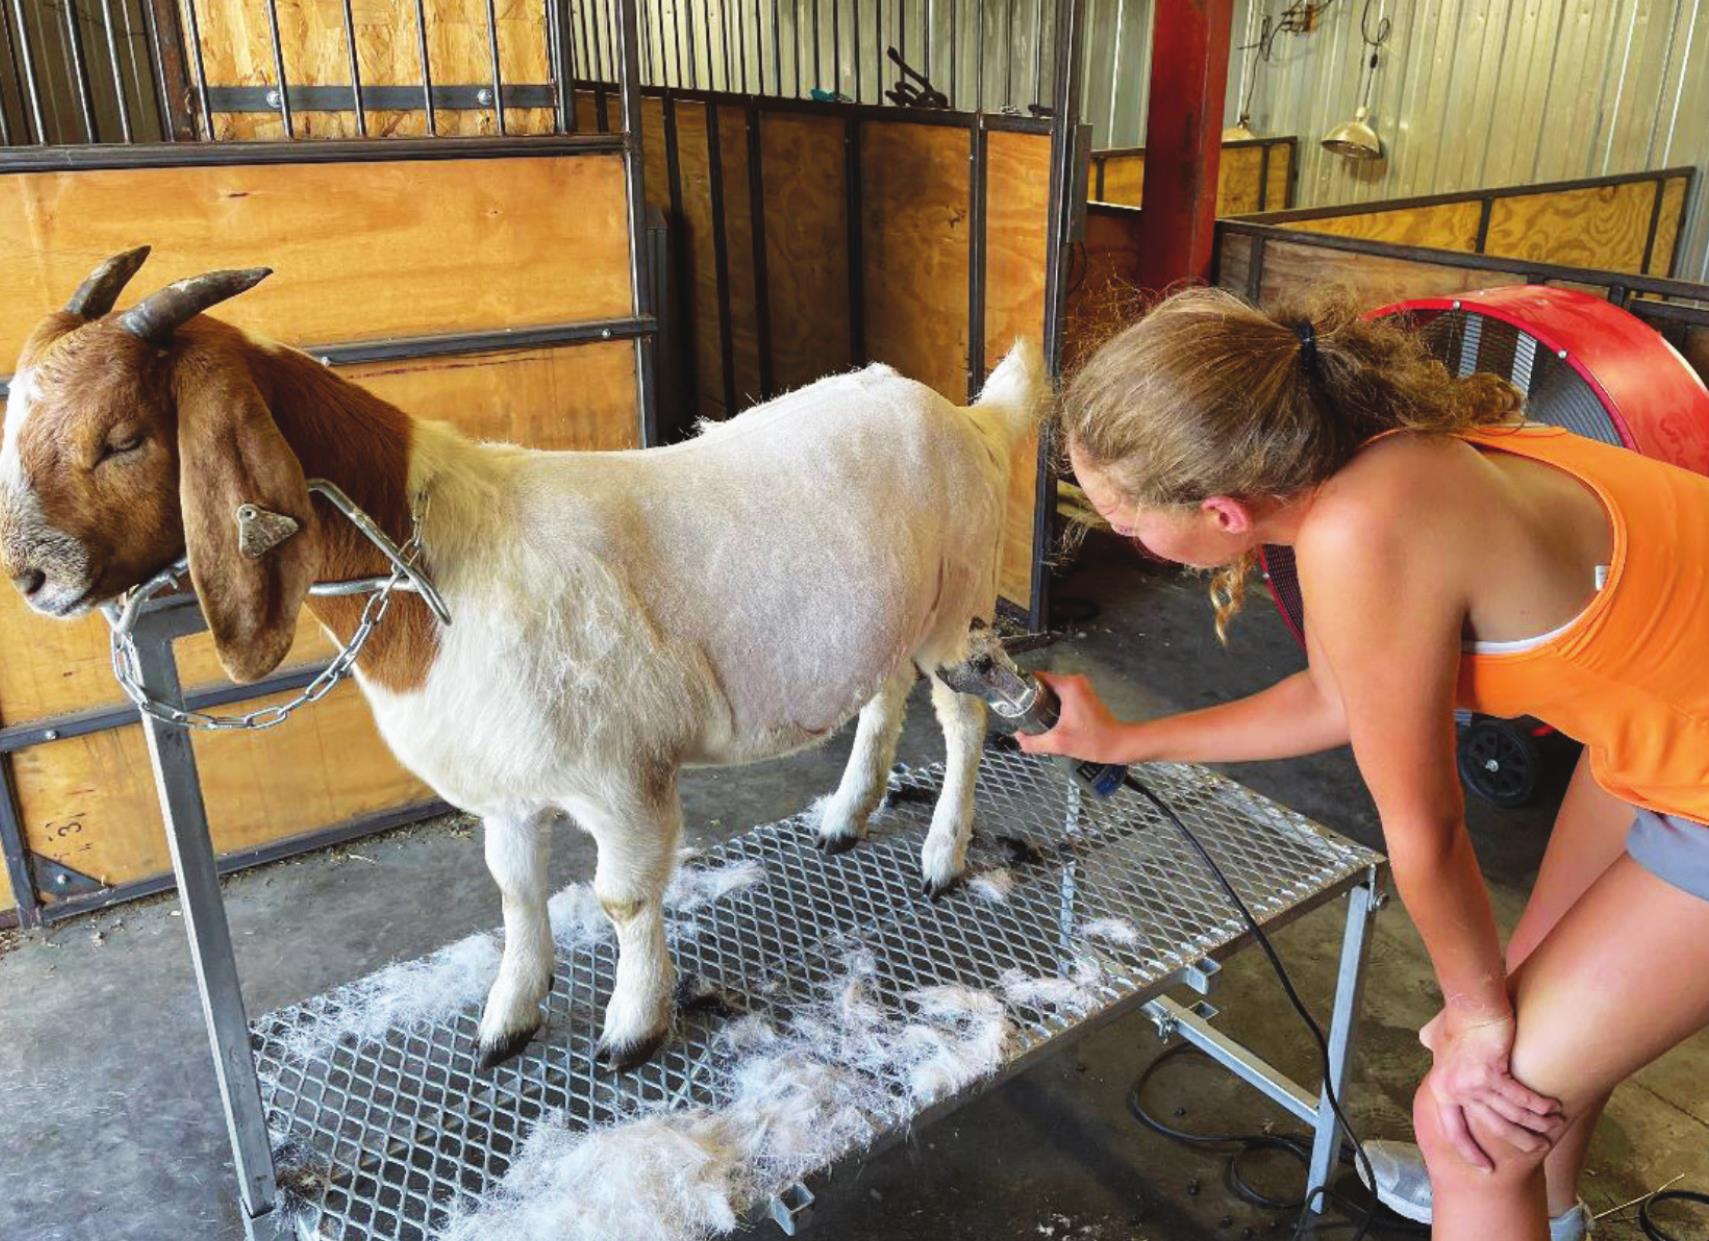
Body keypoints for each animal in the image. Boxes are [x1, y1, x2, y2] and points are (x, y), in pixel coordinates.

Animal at [0, 249, 1046, 1069]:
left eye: (123, 438)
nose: (30, 576)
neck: (442, 566)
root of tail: (970, 416)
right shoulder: (504, 776)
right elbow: (513, 890)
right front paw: (508, 1016)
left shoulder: (624, 773)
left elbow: (623, 896)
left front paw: (633, 1026)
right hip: (888, 616)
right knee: (883, 695)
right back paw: (842, 813)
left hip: (959, 608)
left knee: (964, 720)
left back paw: (941, 855)